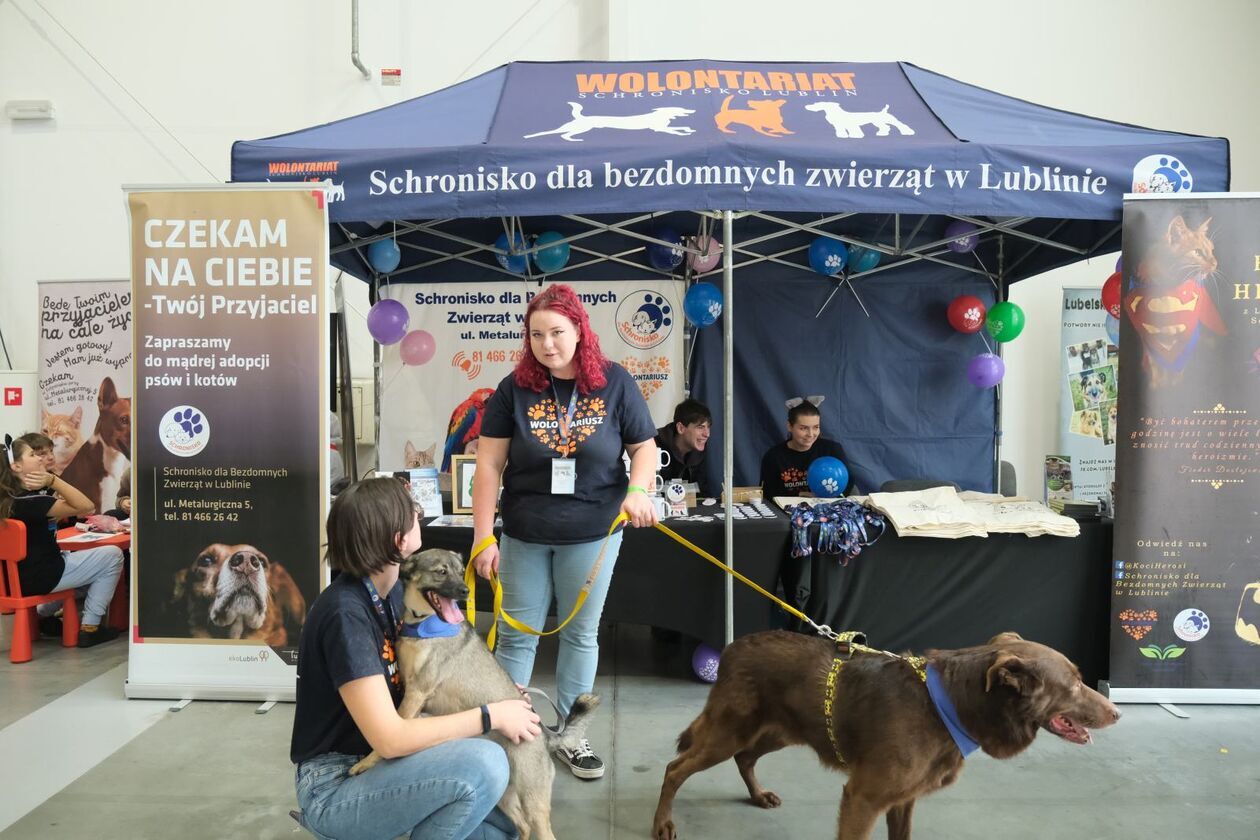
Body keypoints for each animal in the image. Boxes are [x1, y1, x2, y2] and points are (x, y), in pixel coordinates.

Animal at [655, 629, 1118, 840]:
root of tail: (732, 647)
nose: (1115, 712)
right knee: (675, 768)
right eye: (1074, 685)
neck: (947, 704)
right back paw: (662, 824)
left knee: (745, 758)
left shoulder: (903, 799)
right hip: (728, 731)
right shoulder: (863, 798)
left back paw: (758, 794)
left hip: (779, 730)